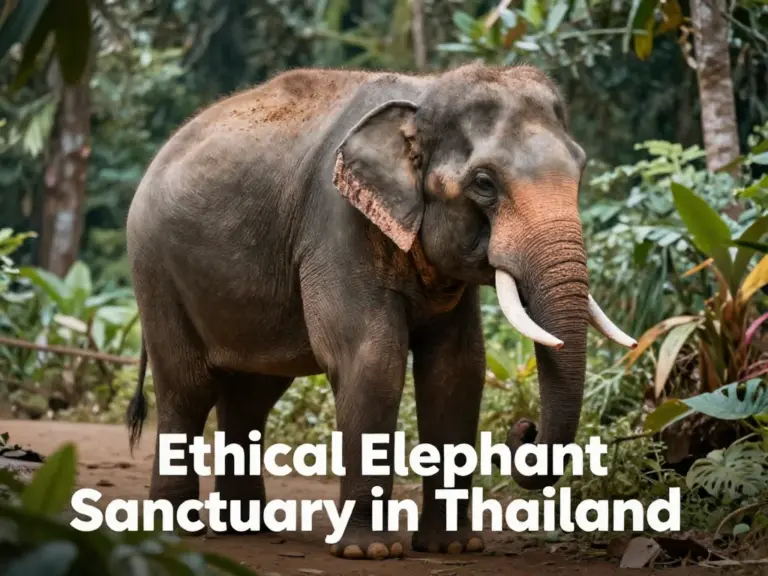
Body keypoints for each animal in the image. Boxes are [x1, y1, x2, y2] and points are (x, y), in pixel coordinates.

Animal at [125, 62, 636, 560]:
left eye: (580, 171)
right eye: (484, 184)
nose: (524, 429)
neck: (424, 94)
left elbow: (457, 369)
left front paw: (454, 546)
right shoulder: (336, 226)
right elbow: (372, 360)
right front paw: (368, 551)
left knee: (252, 395)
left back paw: (245, 529)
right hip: (155, 269)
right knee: (187, 388)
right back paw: (176, 530)